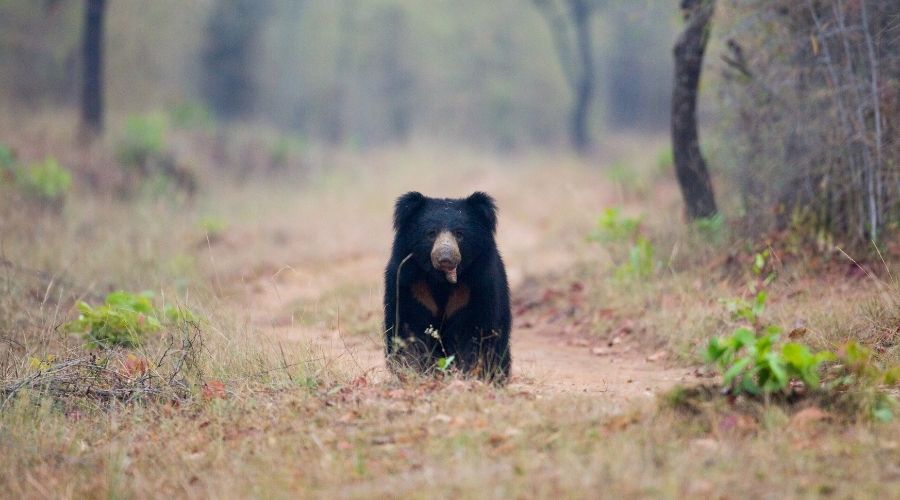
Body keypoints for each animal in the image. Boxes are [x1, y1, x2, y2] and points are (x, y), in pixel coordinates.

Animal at [384, 191, 510, 382]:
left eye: (459, 234)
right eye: (431, 233)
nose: (445, 257)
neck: (440, 280)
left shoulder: (478, 284)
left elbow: (475, 332)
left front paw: (467, 374)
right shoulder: (409, 283)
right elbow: (407, 327)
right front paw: (413, 372)